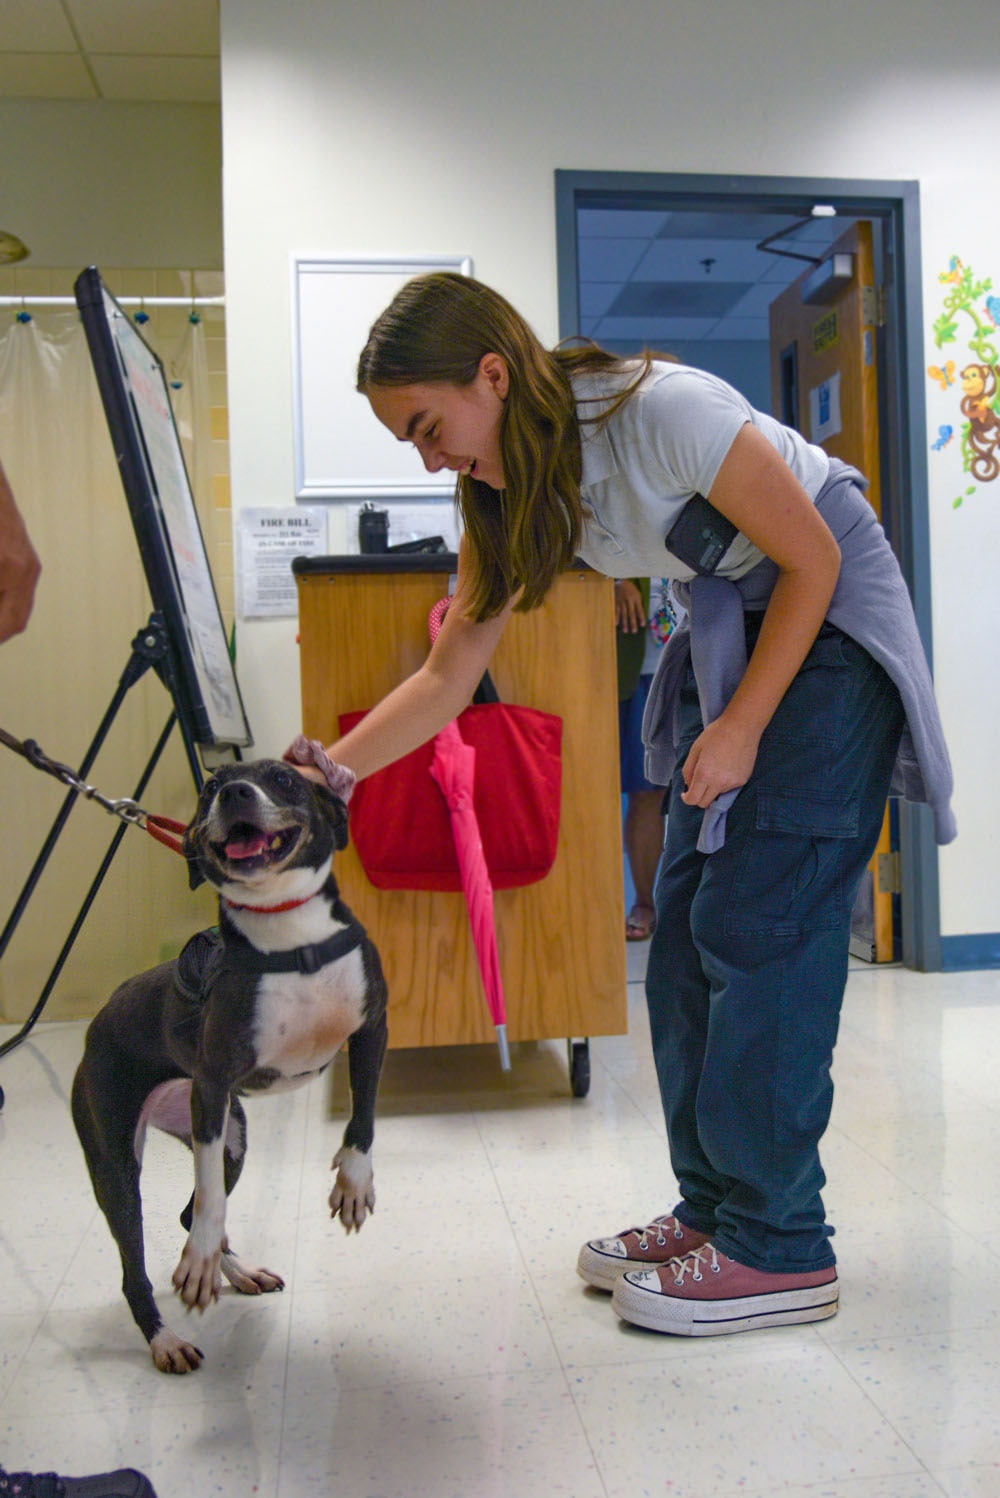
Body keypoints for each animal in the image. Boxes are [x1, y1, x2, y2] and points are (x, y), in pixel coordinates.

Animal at [70, 760, 389, 1372]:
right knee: (139, 1263)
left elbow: (362, 1120)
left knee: (186, 1214)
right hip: (119, 1163)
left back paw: (239, 1272)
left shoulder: (371, 1032)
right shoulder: (212, 1086)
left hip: (232, 1139)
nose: (236, 793)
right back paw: (165, 1338)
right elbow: (210, 1199)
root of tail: (97, 1022)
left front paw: (353, 1182)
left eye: (285, 779)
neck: (292, 941)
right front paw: (195, 1264)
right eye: (210, 788)